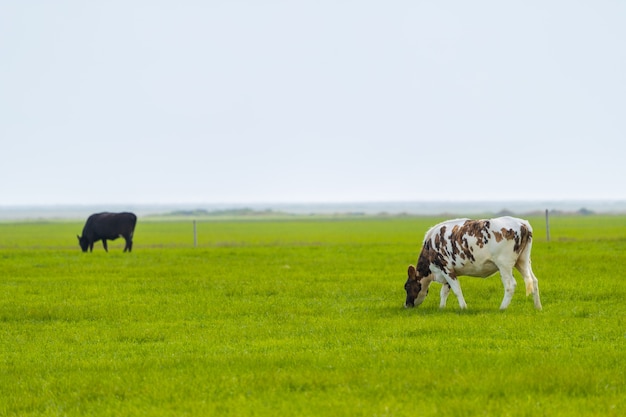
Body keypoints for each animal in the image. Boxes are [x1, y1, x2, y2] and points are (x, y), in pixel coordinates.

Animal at [402, 214, 540, 308]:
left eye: (406, 286)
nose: (407, 305)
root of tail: (523, 224)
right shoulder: (448, 272)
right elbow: (444, 292)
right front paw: (441, 308)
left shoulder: (446, 268)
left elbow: (457, 290)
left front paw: (463, 307)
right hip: (523, 261)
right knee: (533, 281)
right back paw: (537, 307)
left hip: (504, 264)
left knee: (510, 285)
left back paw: (502, 308)